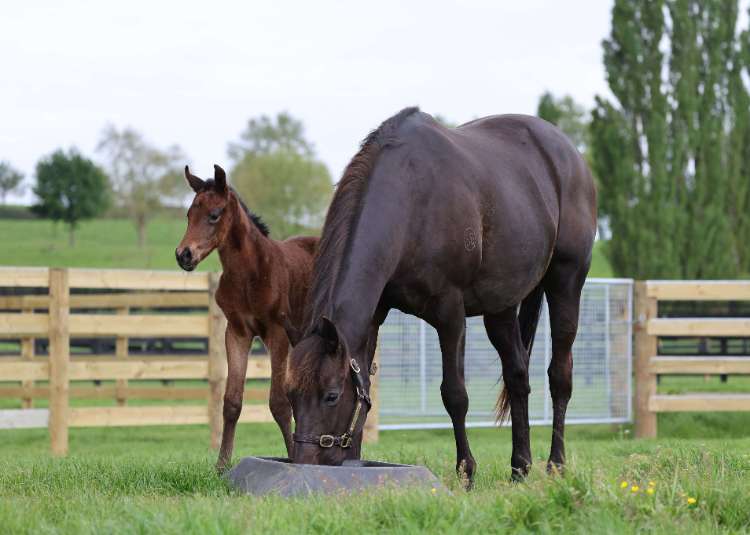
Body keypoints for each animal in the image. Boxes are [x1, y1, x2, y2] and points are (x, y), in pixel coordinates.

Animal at [176, 164, 318, 471]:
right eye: (189, 215)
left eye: (214, 215)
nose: (184, 255)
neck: (250, 273)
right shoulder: (237, 331)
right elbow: (231, 401)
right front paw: (221, 466)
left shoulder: (277, 332)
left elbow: (279, 403)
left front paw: (294, 458)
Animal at [284, 108, 596, 487]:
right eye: (290, 394)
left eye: (330, 396)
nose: (305, 463)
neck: (410, 199)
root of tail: (569, 153)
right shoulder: (374, 316)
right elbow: (366, 385)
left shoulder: (450, 313)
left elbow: (454, 394)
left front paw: (466, 473)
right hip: (501, 307)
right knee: (518, 377)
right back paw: (520, 468)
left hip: (566, 282)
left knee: (559, 375)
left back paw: (556, 465)